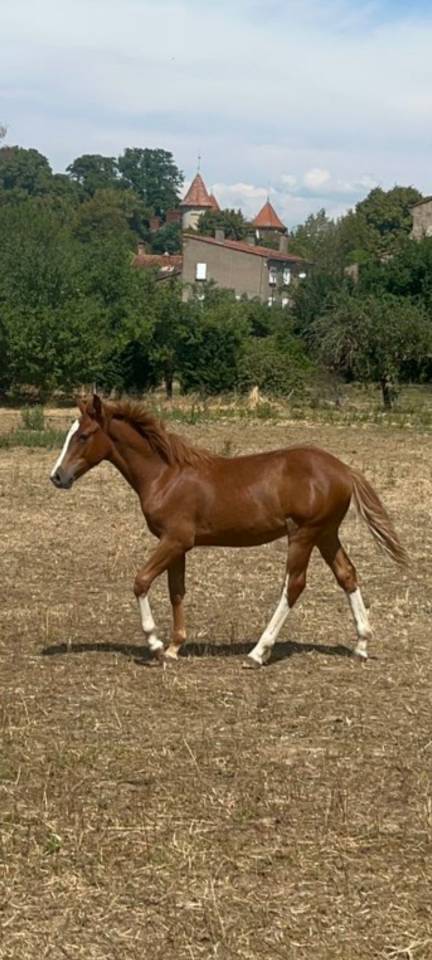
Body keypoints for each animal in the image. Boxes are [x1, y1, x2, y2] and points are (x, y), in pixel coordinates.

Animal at [50, 395, 407, 668]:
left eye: (83, 435)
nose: (57, 476)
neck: (165, 476)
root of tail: (344, 469)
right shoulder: (178, 544)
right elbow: (176, 591)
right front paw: (174, 647)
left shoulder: (174, 540)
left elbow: (141, 581)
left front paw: (155, 643)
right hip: (326, 534)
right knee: (347, 575)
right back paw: (361, 644)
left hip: (304, 534)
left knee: (293, 585)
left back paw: (258, 653)